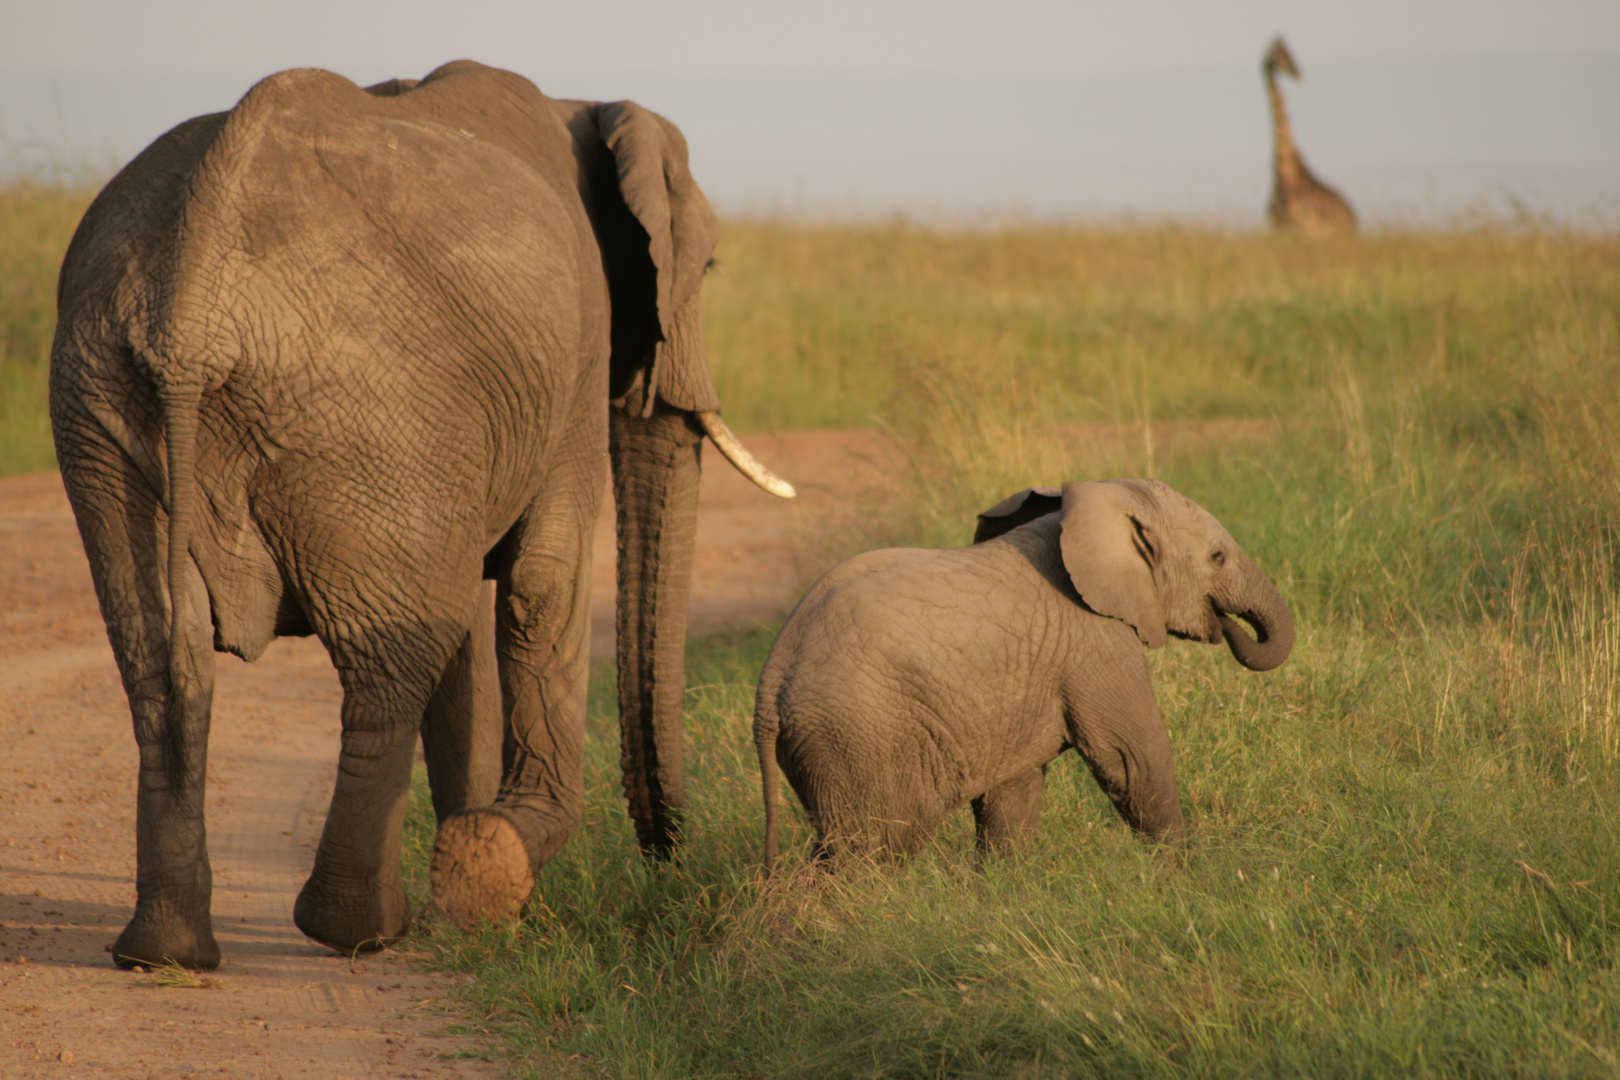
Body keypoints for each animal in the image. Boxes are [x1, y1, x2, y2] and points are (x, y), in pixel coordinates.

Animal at [47, 59, 787, 971]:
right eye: (707, 268)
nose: (668, 861)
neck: (582, 109)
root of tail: (192, 299)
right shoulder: (575, 358)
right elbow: (541, 581)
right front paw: (495, 875)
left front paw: (474, 898)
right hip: (368, 408)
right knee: (392, 660)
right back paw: (360, 929)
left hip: (103, 401)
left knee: (160, 659)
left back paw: (165, 953)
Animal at [751, 482, 1296, 867]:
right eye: (1217, 558)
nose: (1227, 626)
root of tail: (770, 683)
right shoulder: (1094, 640)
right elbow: (1133, 756)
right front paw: (1185, 876)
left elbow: (1013, 792)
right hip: (859, 738)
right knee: (871, 848)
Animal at [1263, 36, 1354, 236]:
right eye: (1280, 56)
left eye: (1289, 54)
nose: (1298, 74)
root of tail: (1354, 217)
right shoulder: (1280, 228)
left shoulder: (1297, 228)